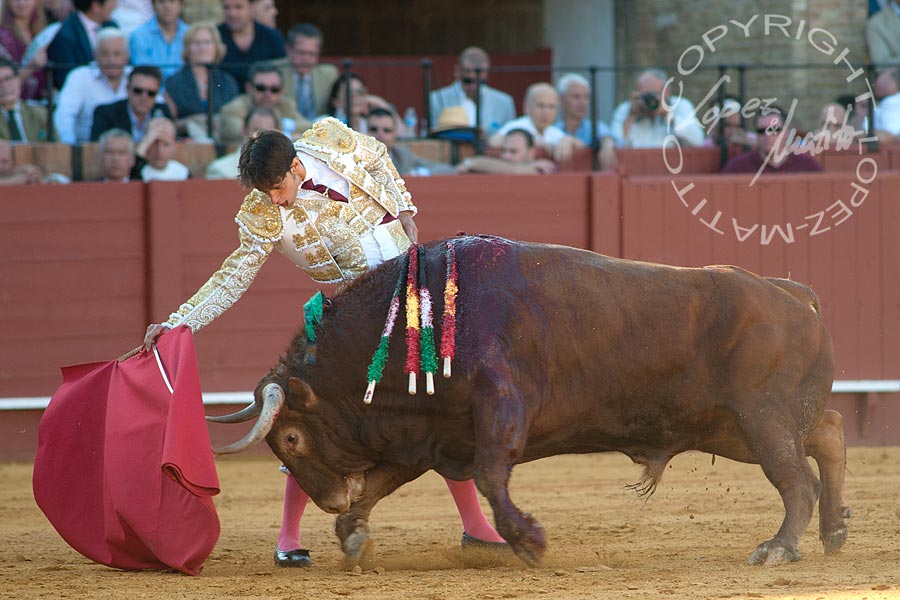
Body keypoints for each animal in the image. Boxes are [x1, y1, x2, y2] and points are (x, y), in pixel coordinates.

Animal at [214, 234, 848, 568]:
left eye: (291, 437)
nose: (325, 499)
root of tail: (795, 295)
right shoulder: (430, 435)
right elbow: (381, 483)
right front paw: (351, 534)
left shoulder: (500, 405)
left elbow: (492, 475)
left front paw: (529, 541)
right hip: (732, 426)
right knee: (829, 434)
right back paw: (834, 533)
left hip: (760, 420)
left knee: (799, 480)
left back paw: (779, 548)